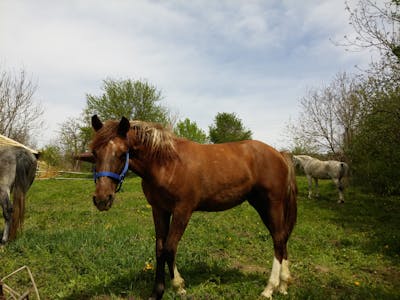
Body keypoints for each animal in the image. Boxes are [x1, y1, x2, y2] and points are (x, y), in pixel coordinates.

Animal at [85, 115, 296, 300]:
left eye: (122, 154)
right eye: (94, 153)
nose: (102, 199)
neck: (167, 164)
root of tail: (279, 154)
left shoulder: (182, 211)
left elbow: (170, 248)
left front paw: (179, 287)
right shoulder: (159, 210)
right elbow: (159, 249)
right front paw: (157, 292)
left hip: (272, 204)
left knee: (278, 240)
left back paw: (269, 288)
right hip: (261, 205)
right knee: (281, 238)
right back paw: (284, 285)